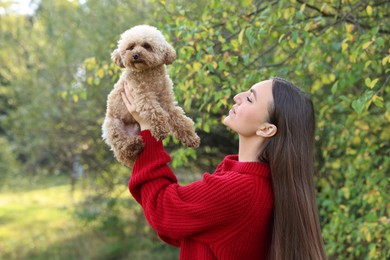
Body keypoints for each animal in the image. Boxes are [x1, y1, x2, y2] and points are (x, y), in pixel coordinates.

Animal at [102, 24, 200, 167]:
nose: (135, 55)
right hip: (114, 126)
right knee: (122, 147)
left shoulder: (166, 101)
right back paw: (133, 145)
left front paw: (190, 137)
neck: (149, 74)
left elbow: (179, 119)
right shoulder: (143, 96)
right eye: (131, 47)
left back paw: (136, 145)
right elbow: (155, 111)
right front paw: (161, 130)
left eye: (146, 46)